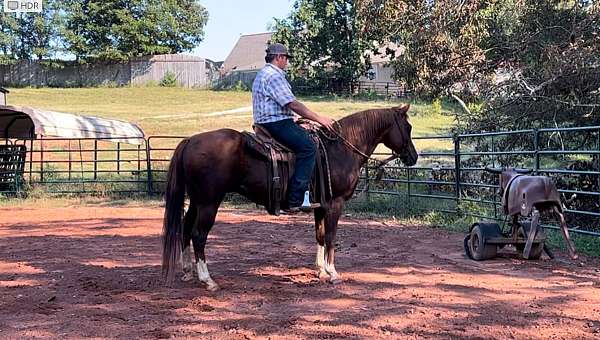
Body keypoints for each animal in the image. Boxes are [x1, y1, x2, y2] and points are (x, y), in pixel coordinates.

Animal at [162, 103, 420, 290]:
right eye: (407, 128)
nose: (413, 157)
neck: (341, 149)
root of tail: (190, 140)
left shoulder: (320, 205)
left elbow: (320, 235)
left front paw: (320, 270)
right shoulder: (334, 204)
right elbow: (331, 238)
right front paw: (333, 273)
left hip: (197, 201)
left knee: (186, 228)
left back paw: (187, 271)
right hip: (209, 202)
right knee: (199, 235)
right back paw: (208, 280)